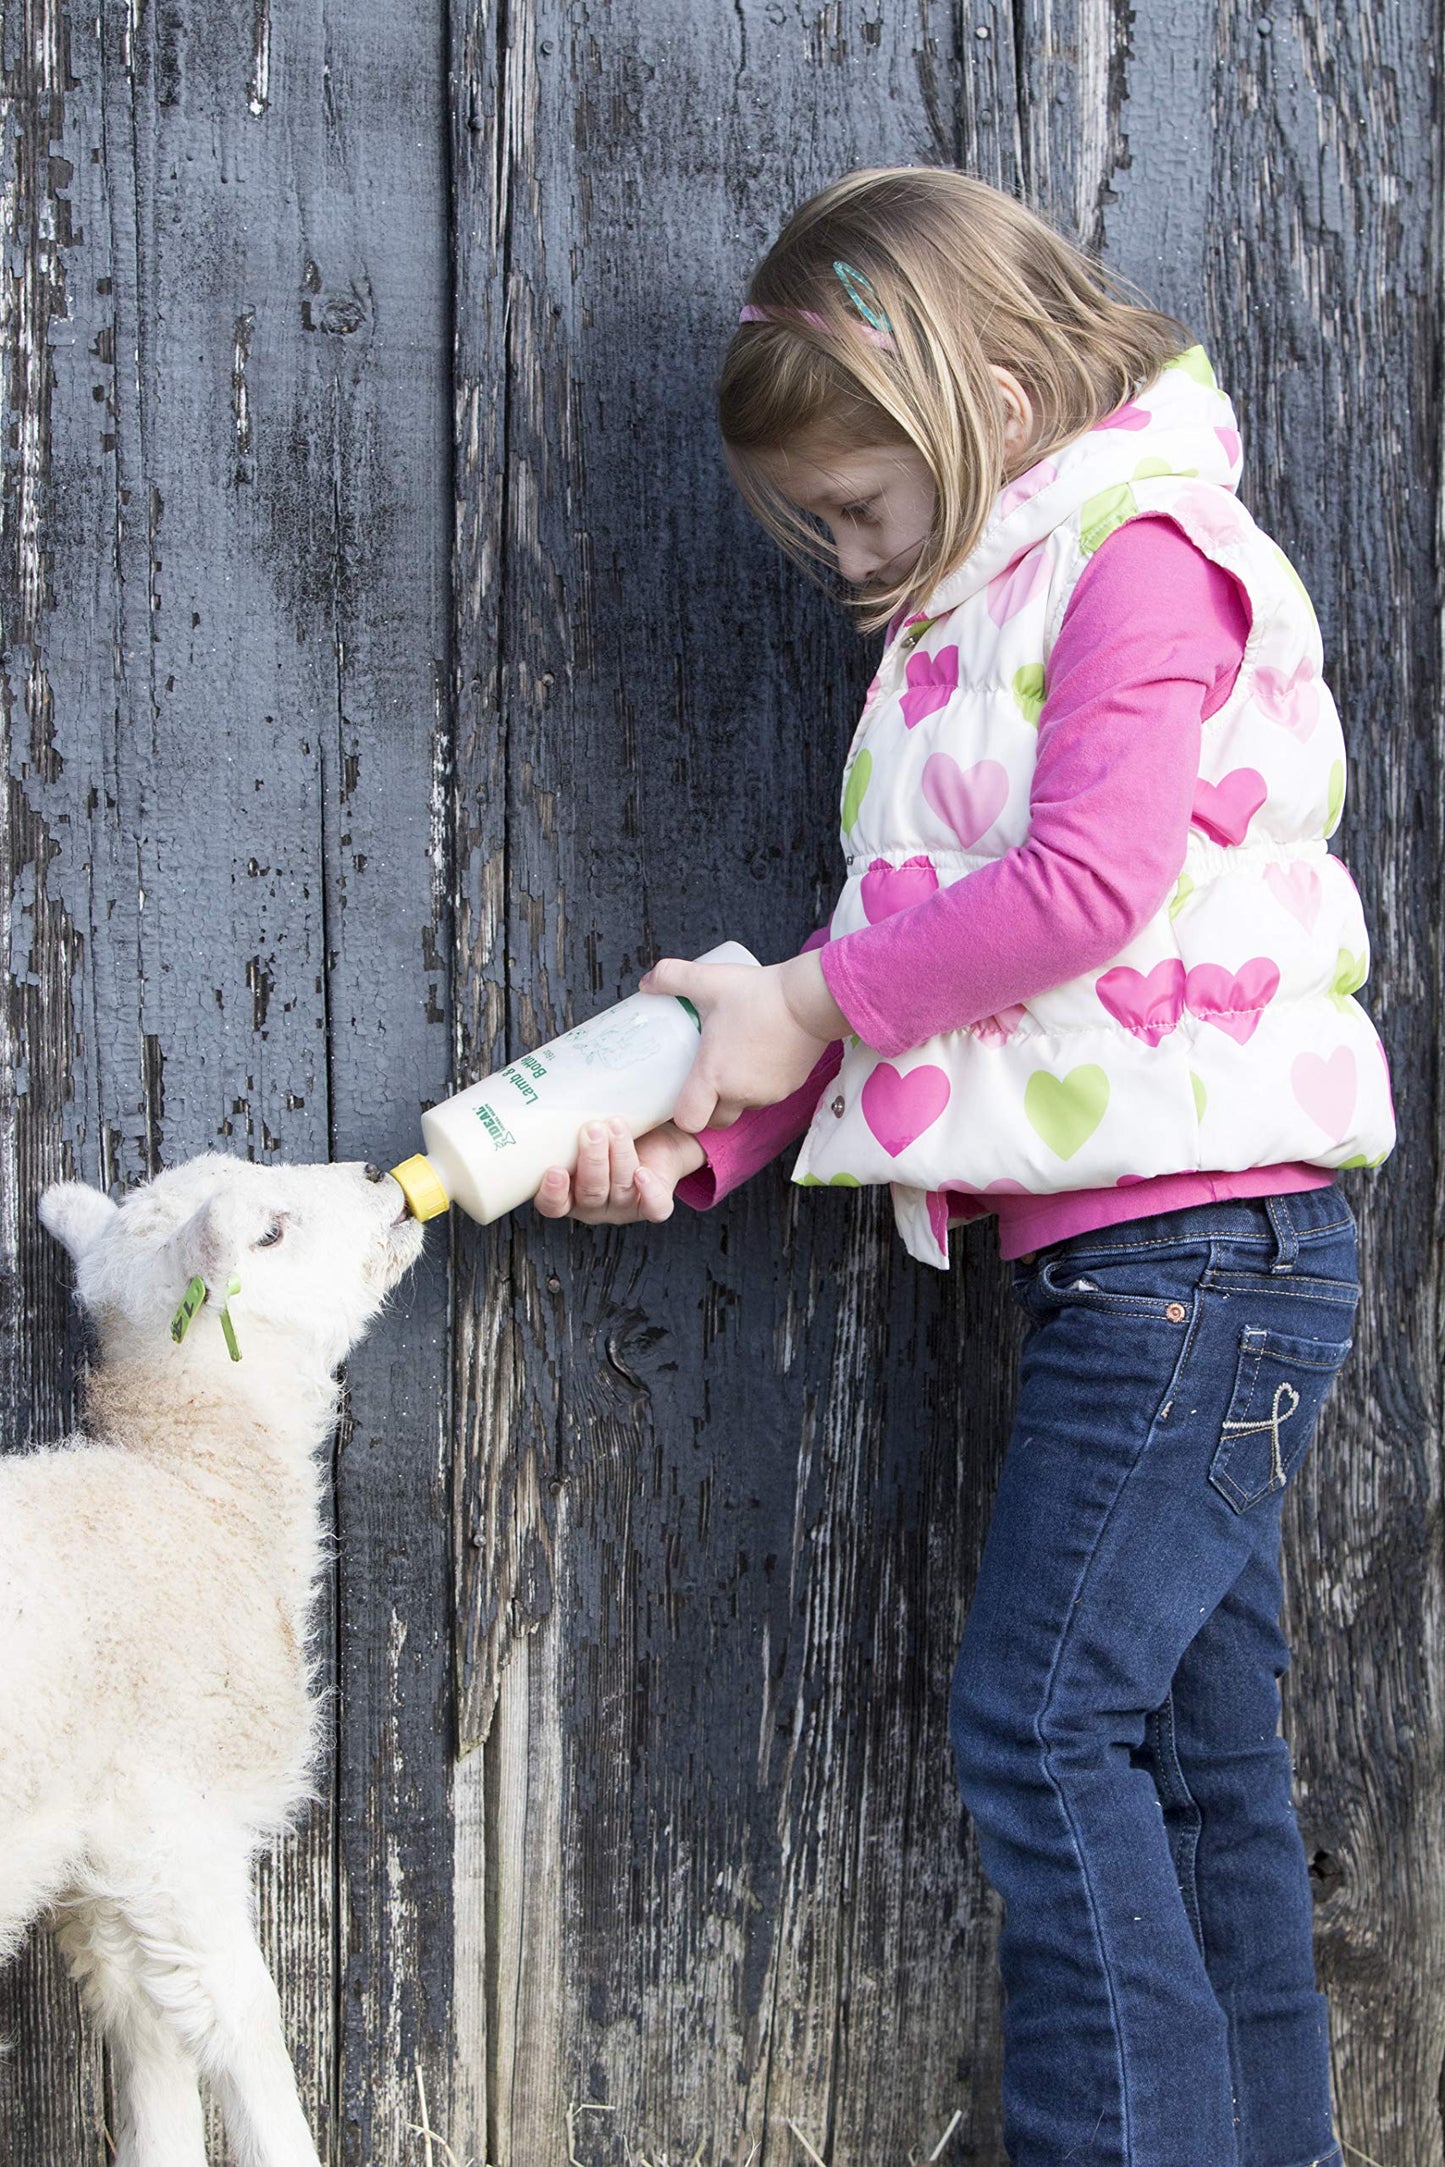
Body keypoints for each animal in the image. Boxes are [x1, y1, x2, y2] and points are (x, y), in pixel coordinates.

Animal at [0, 1152, 426, 2167]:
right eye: (269, 1231)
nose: (375, 1171)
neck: (196, 1489)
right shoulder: (172, 1825)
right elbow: (243, 2020)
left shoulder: (102, 1869)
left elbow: (146, 2033)